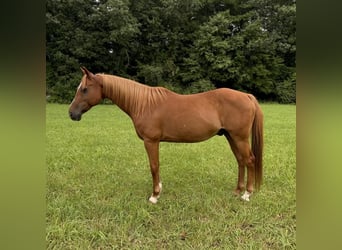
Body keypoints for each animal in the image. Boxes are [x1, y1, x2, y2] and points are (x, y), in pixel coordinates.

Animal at [68, 67, 264, 203]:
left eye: (84, 89)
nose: (71, 113)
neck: (144, 104)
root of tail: (246, 96)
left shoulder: (151, 141)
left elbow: (154, 166)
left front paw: (154, 196)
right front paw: (159, 189)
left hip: (239, 138)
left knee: (249, 160)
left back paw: (247, 194)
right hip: (231, 136)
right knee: (240, 161)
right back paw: (237, 191)